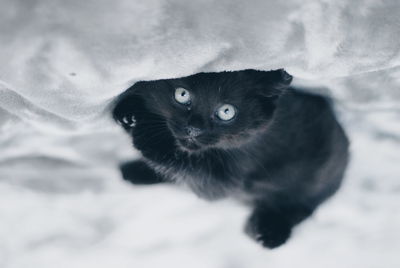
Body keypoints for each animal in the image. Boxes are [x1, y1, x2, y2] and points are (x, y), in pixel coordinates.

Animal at [112, 69, 350, 249]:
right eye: (182, 95)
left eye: (226, 111)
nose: (194, 129)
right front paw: (129, 111)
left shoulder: (225, 180)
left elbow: (183, 164)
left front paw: (142, 129)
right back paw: (135, 172)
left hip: (315, 183)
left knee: (299, 208)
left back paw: (270, 232)